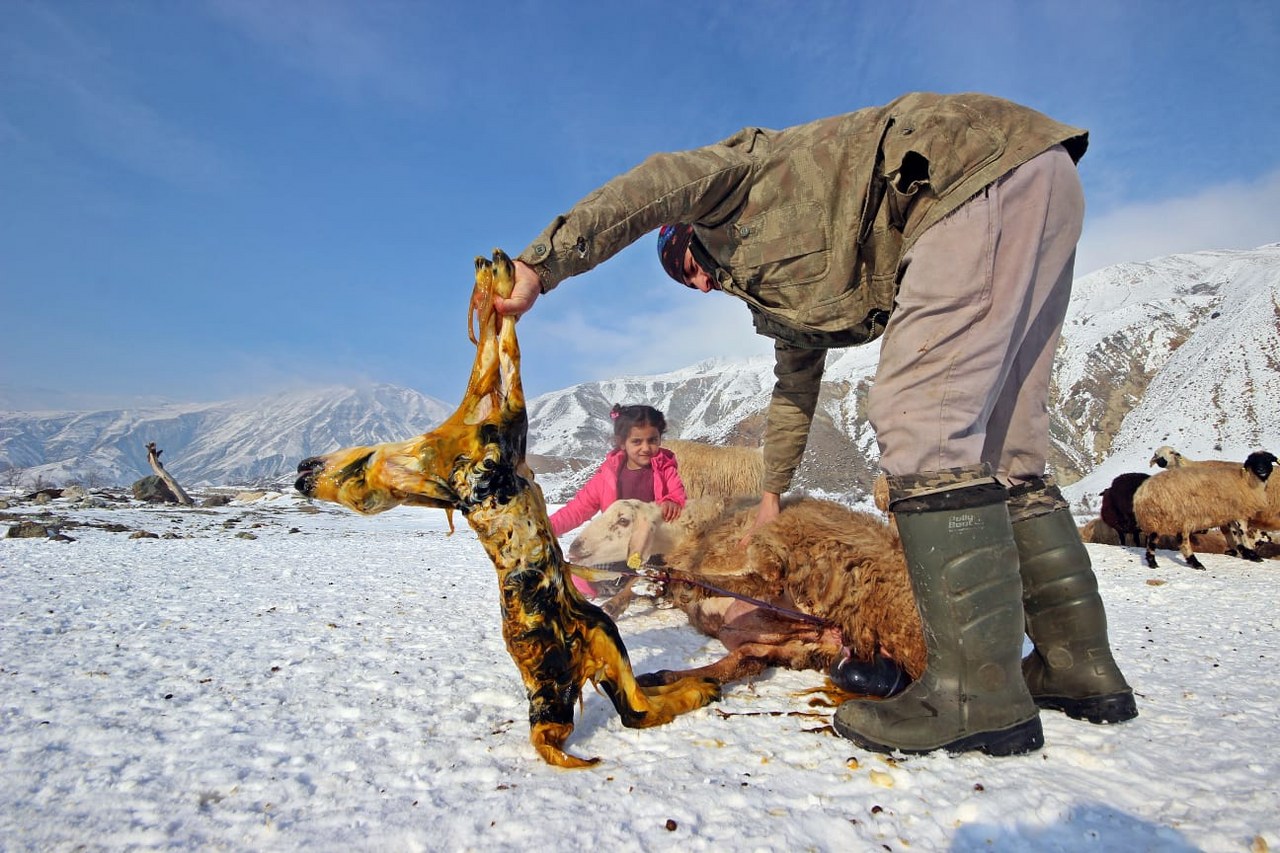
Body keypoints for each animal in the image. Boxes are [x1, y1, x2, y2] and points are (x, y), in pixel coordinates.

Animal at [1136, 448, 1274, 568]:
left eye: (1268, 460)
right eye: (1253, 461)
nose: (1262, 470)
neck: (1247, 480)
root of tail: (1146, 490)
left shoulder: (1230, 513)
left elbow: (1235, 532)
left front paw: (1245, 552)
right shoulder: (1239, 512)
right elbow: (1242, 532)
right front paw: (1252, 554)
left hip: (1156, 517)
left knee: (1153, 539)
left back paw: (1152, 562)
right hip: (1179, 515)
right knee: (1182, 540)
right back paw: (1195, 563)